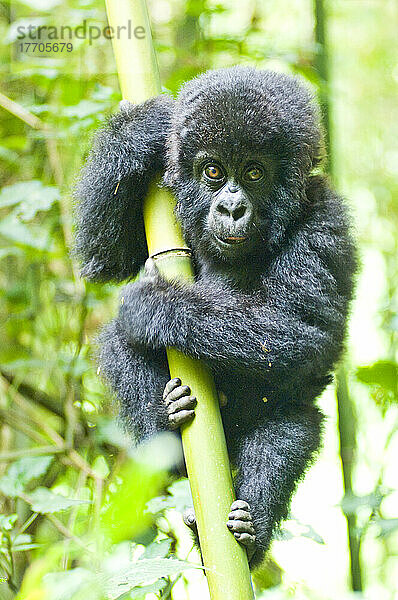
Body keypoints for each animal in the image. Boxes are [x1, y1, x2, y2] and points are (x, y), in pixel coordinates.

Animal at [75, 67, 358, 568]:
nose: (231, 207)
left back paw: (250, 529)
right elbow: (103, 256)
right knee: (117, 341)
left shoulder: (326, 221)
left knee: (292, 427)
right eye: (213, 171)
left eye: (254, 172)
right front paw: (142, 129)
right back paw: (167, 428)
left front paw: (158, 305)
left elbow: (301, 331)